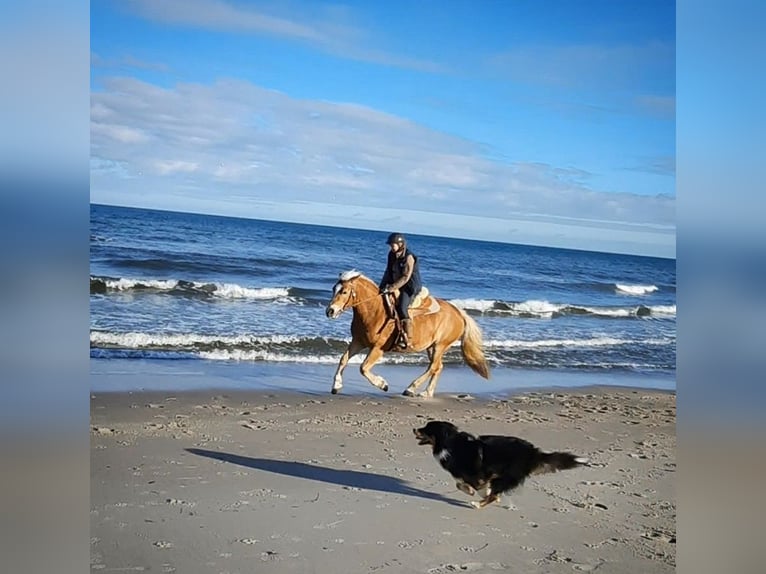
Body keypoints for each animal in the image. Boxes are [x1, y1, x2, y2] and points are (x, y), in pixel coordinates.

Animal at [326, 272, 492, 398]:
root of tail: (459, 313)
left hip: (440, 345)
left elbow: (363, 368)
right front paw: (336, 385)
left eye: (344, 291)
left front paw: (383, 384)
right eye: (334, 288)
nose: (330, 311)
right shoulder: (358, 342)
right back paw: (427, 392)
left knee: (433, 367)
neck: (375, 311)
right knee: (438, 367)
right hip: (432, 347)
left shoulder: (378, 348)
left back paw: (411, 388)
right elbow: (343, 360)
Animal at [414, 420, 588, 510]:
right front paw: (470, 491)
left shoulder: (478, 475)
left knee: (494, 493)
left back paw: (477, 504)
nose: (414, 428)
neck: (449, 443)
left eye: (426, 428)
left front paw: (478, 494)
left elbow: (479, 488)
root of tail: (533, 452)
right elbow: (459, 484)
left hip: (506, 476)